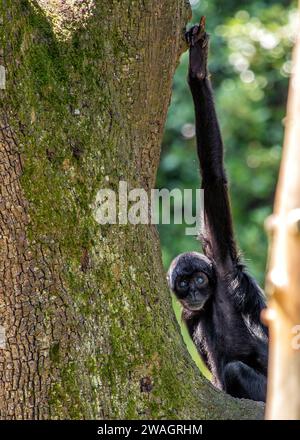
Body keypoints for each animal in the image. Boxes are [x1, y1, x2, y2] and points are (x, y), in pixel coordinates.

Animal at [168, 17, 268, 402]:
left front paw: (197, 71)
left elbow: (213, 177)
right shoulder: (187, 315)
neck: (211, 302)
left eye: (199, 279)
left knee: (236, 369)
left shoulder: (223, 264)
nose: (195, 292)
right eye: (184, 284)